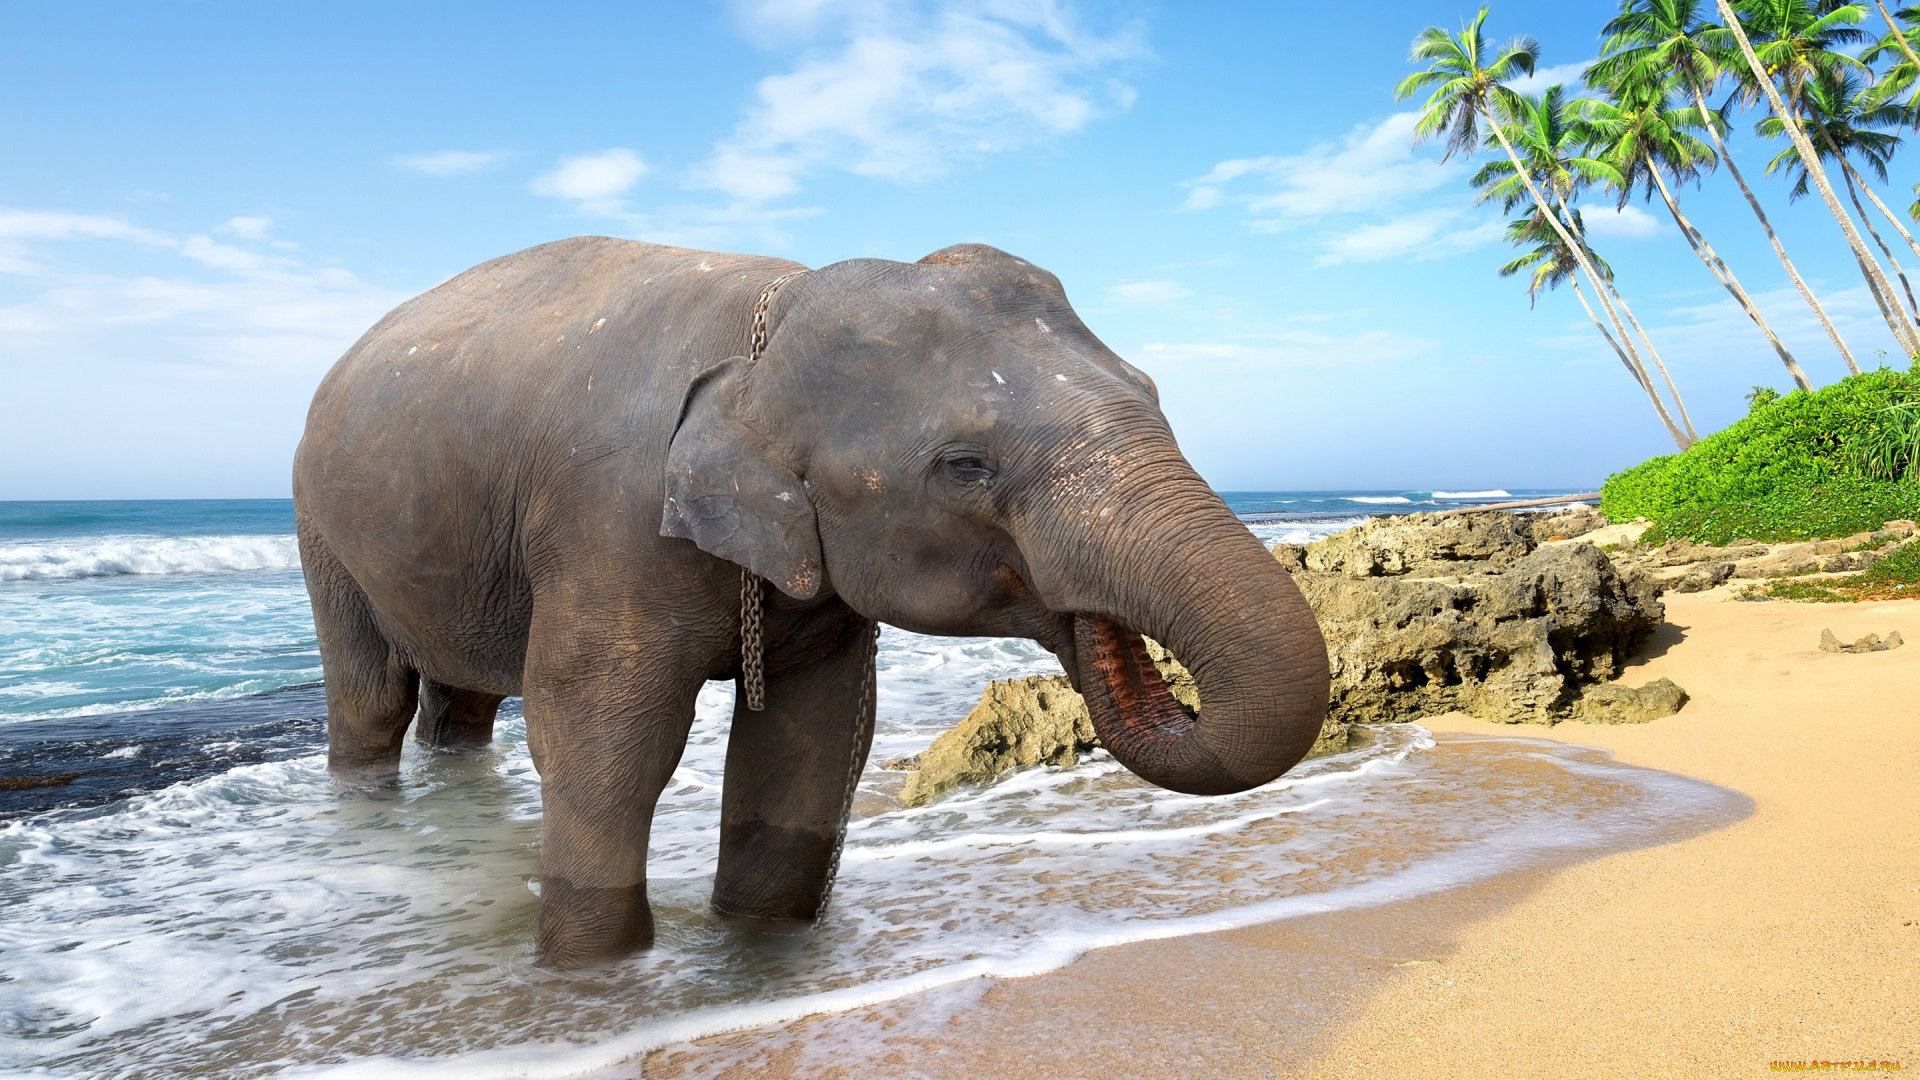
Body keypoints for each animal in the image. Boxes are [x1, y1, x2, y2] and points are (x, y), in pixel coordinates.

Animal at [292, 237, 1329, 967]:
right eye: (965, 466)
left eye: (1152, 392)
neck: (770, 328)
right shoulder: (609, 522)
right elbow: (601, 741)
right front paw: (592, 975)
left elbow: (811, 743)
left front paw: (758, 945)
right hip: (321, 530)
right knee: (372, 697)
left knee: (460, 702)